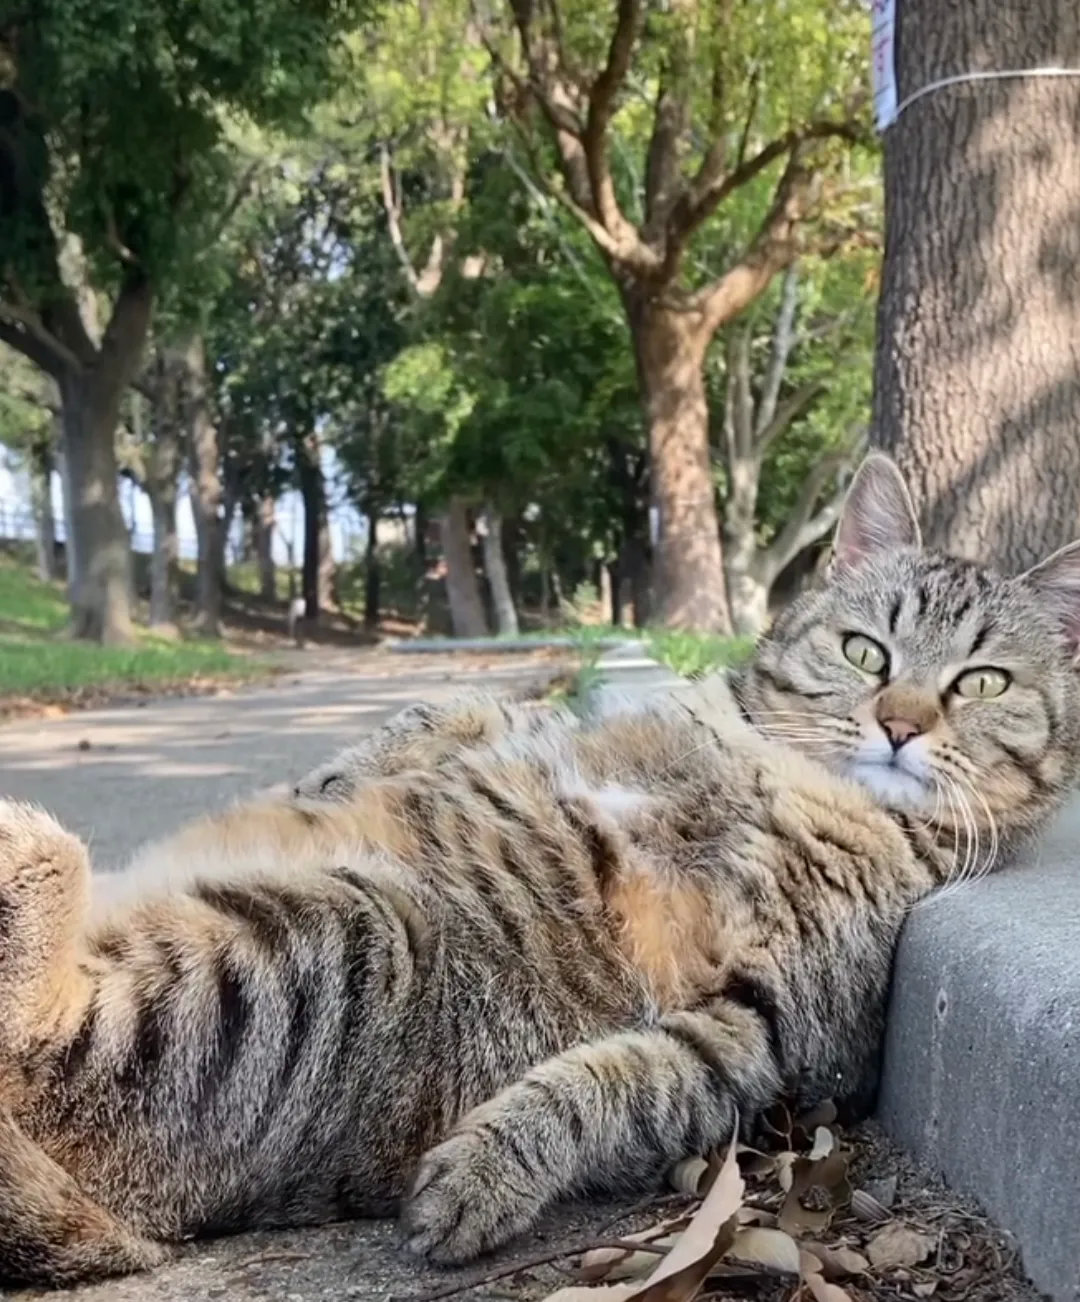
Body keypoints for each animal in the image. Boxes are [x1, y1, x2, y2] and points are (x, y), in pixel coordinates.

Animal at [1, 452, 1078, 1287]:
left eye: (981, 682)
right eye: (865, 651)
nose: (899, 723)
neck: (786, 769)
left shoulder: (769, 1036)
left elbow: (613, 1085)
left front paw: (491, 1166)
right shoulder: (576, 720)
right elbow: (467, 709)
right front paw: (345, 767)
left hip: (353, 939)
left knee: (42, 1025)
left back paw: (36, 847)